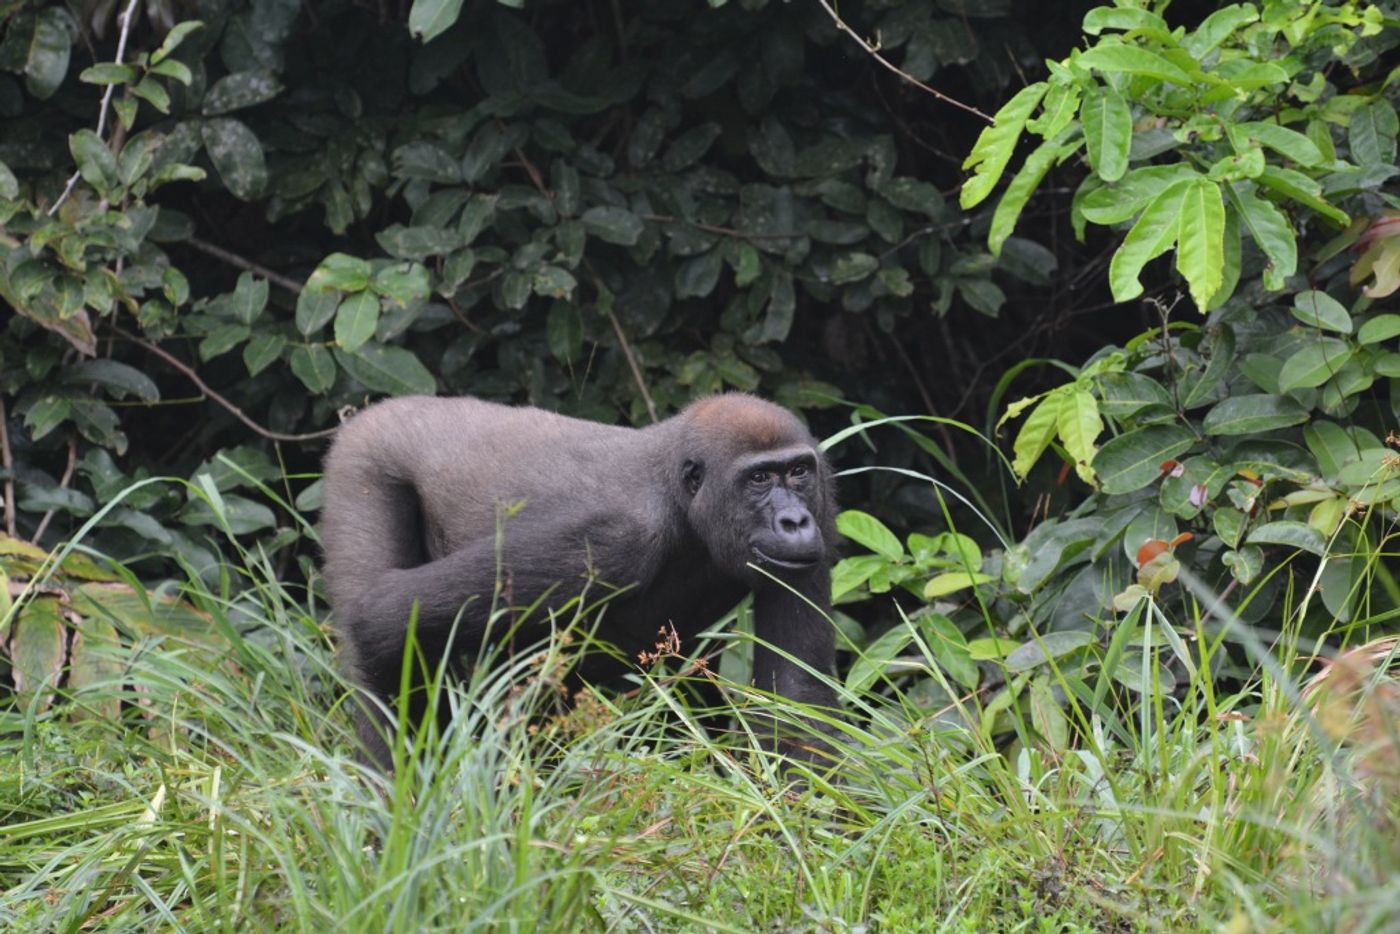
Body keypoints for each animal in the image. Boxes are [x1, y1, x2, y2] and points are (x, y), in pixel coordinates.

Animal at [322, 392, 834, 767]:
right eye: (759, 479)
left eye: (798, 472)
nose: (794, 522)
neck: (677, 495)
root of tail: (393, 407)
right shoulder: (608, 539)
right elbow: (386, 620)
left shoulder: (824, 501)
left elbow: (797, 697)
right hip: (363, 460)